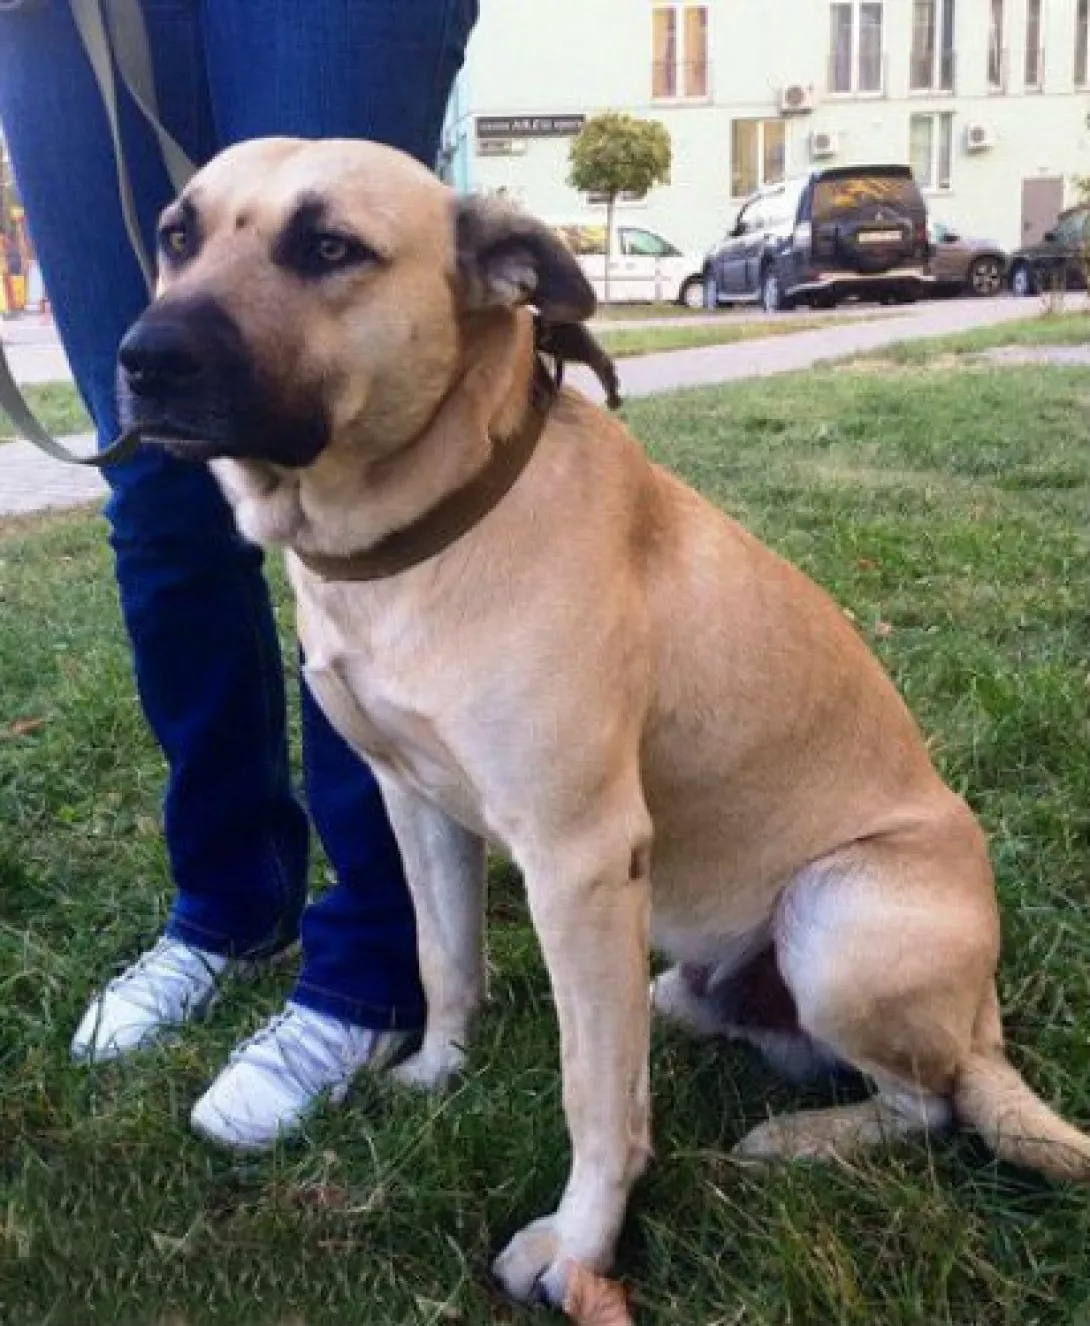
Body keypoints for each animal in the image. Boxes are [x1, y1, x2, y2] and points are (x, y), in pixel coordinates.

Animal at [118, 137, 1090, 1308]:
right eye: (177, 235)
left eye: (330, 248)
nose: (141, 359)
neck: (425, 530)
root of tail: (985, 1018)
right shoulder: (416, 806)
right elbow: (445, 962)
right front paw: (439, 1072)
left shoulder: (577, 859)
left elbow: (594, 1096)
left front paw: (580, 1247)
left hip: (838, 915)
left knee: (932, 1102)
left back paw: (804, 1140)